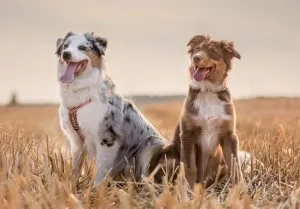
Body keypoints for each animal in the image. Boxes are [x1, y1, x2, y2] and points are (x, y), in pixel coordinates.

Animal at [54, 32, 176, 186]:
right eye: (65, 46)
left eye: (82, 47)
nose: (66, 54)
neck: (81, 89)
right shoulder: (76, 141)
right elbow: (75, 169)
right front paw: (72, 186)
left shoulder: (107, 138)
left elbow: (100, 171)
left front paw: (96, 190)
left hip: (151, 143)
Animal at [172, 34, 243, 188]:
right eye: (196, 50)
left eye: (213, 51)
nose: (196, 58)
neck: (208, 91)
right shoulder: (188, 134)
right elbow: (190, 168)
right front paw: (188, 191)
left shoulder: (229, 136)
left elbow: (235, 167)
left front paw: (240, 189)